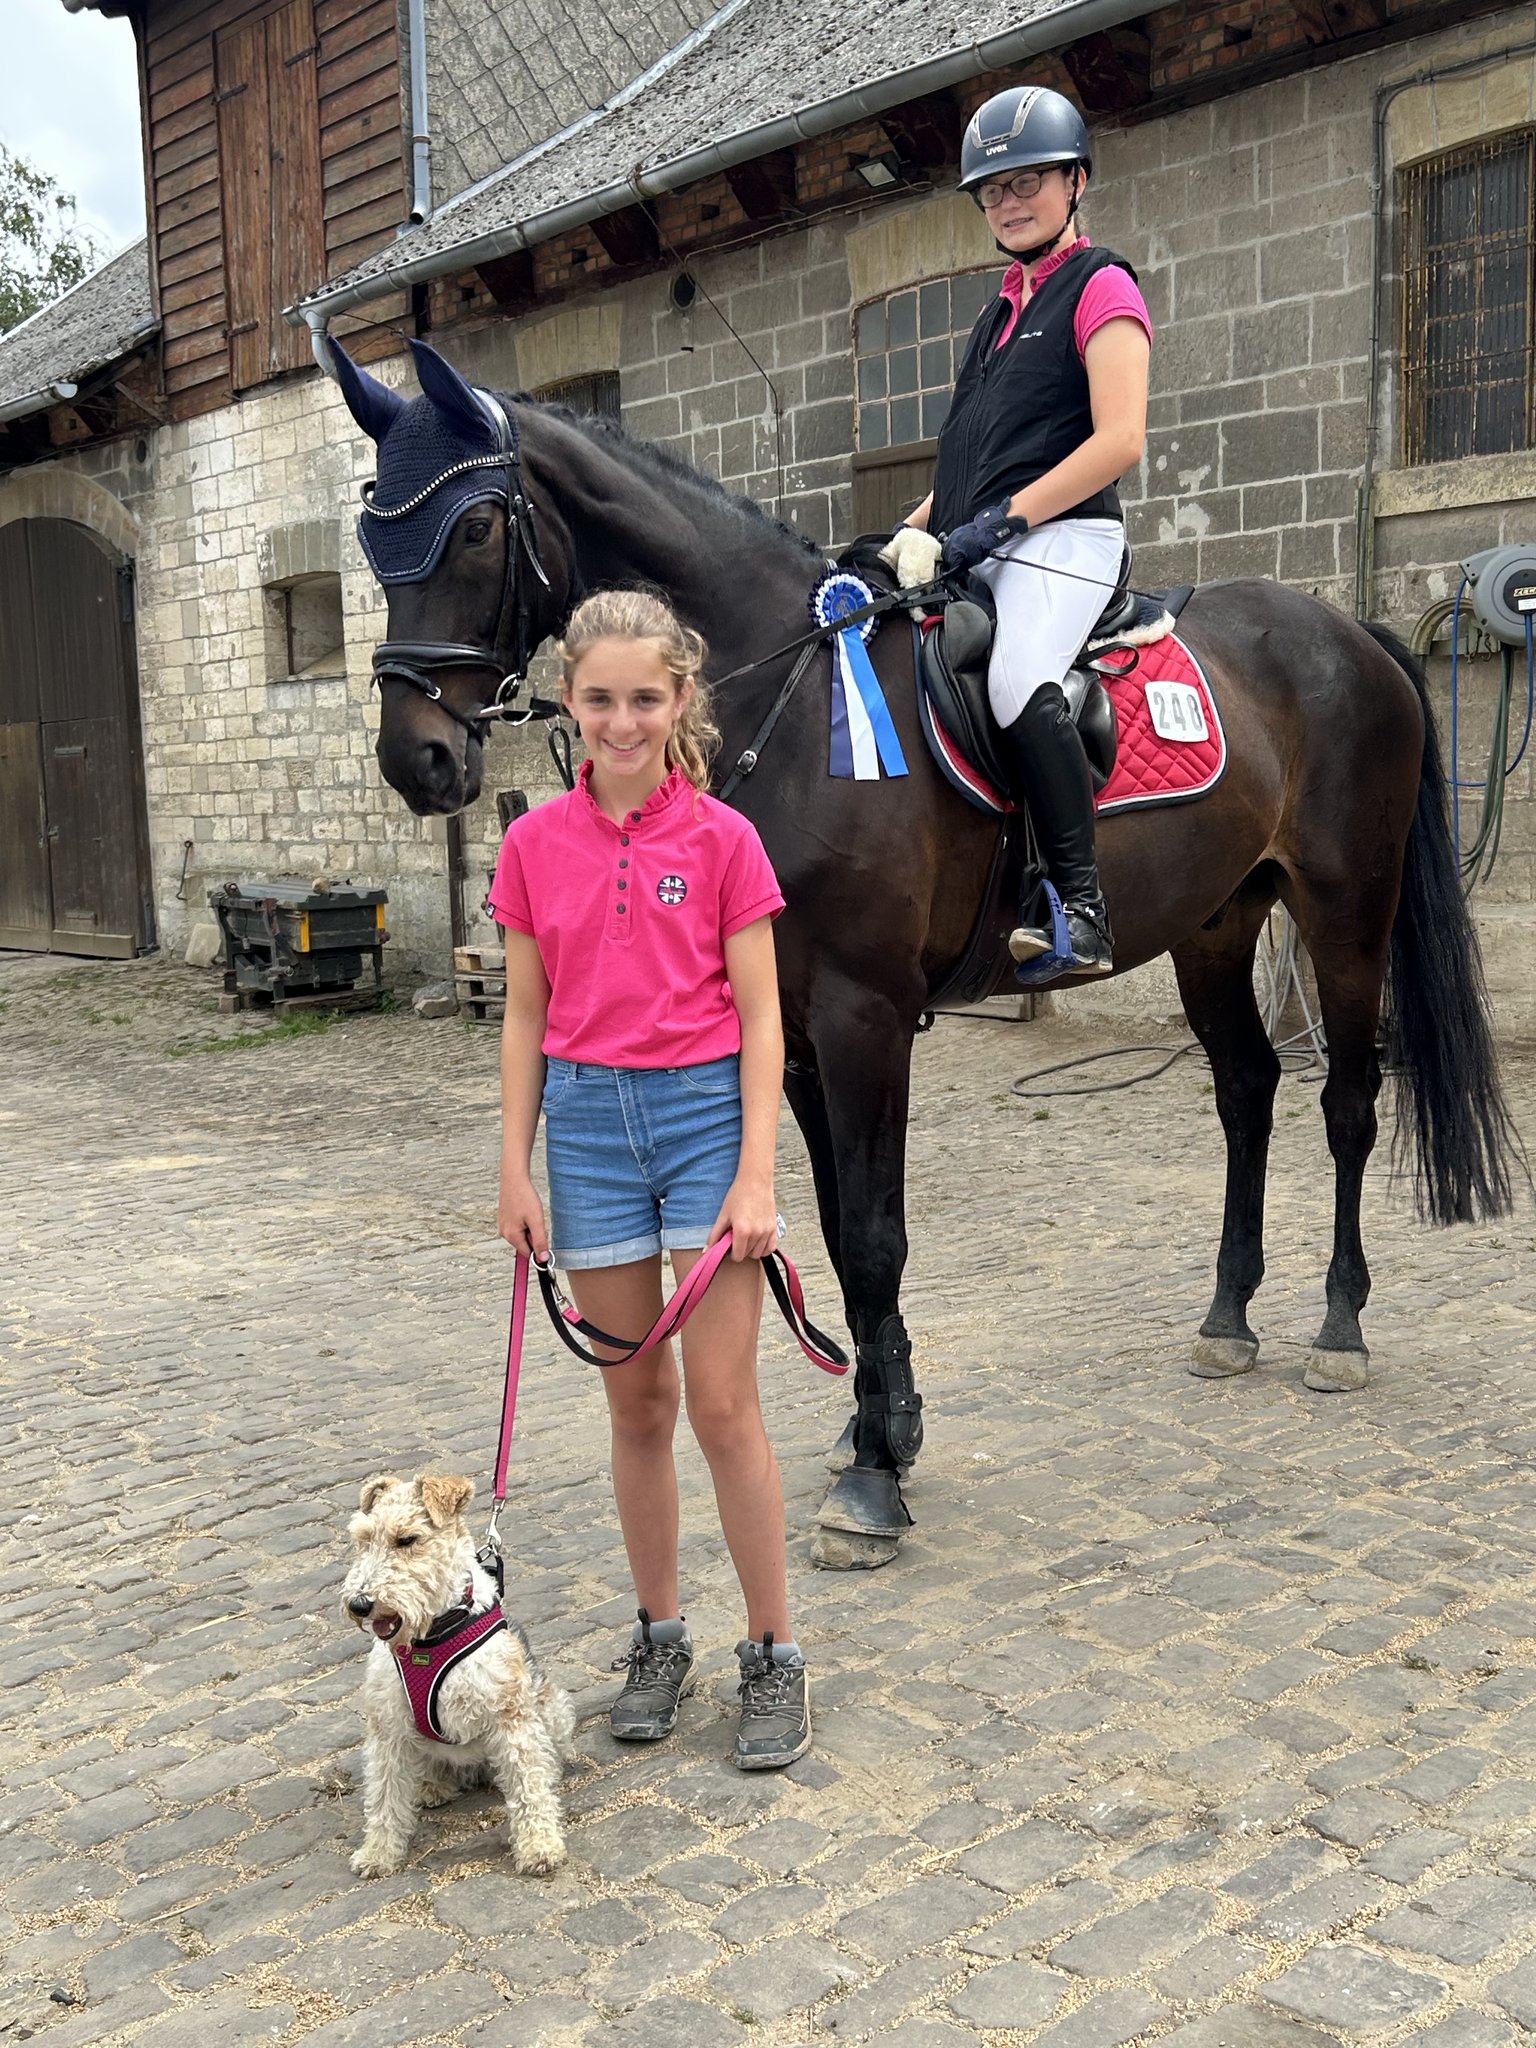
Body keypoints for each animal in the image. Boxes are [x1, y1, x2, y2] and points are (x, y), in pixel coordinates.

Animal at [329, 334, 1522, 1565]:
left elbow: (876, 1239)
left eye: (476, 525)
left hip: (1346, 911)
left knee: (1348, 1101)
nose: (416, 758)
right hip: (1216, 923)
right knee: (1246, 1090)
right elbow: (835, 1235)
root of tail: (1348, 634)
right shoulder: (796, 1033)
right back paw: (1229, 1317)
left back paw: (1339, 1327)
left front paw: (872, 1480)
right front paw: (885, 1427)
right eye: (371, 536)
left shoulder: (865, 1018)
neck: (794, 696)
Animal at [341, 1471, 574, 1878]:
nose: (360, 1603)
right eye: (364, 1539)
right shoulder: (388, 1729)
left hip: (550, 1707)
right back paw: (431, 1787)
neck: (430, 1636)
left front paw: (539, 1847)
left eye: (407, 1539)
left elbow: (529, 1786)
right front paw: (378, 1853)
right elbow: (384, 1797)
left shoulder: (510, 1718)